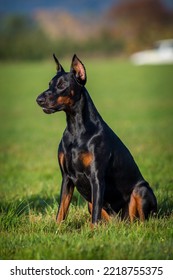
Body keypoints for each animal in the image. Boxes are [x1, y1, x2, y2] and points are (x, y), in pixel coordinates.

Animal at [36, 54, 157, 225]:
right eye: (50, 84)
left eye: (62, 85)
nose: (38, 99)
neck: (76, 130)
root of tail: (121, 221)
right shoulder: (66, 177)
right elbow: (61, 210)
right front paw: (57, 228)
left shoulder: (97, 177)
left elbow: (95, 217)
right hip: (90, 203)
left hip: (141, 190)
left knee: (141, 219)